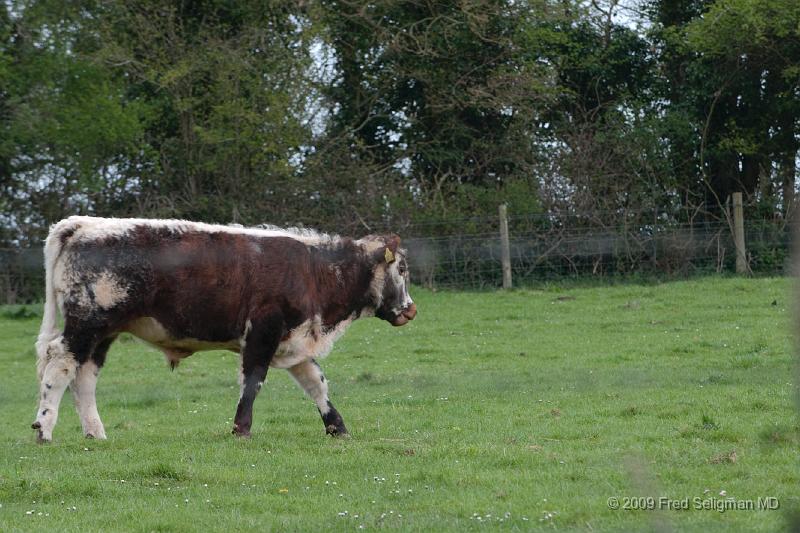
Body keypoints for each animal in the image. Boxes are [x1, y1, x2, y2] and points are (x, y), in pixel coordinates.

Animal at [32, 215, 418, 440]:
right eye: (401, 270)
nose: (411, 310)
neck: (312, 270)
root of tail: (83, 223)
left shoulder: (294, 340)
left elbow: (316, 384)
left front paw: (337, 427)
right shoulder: (263, 332)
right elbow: (253, 381)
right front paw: (241, 429)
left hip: (104, 331)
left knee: (84, 374)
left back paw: (95, 433)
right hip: (87, 322)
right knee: (60, 364)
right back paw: (44, 427)